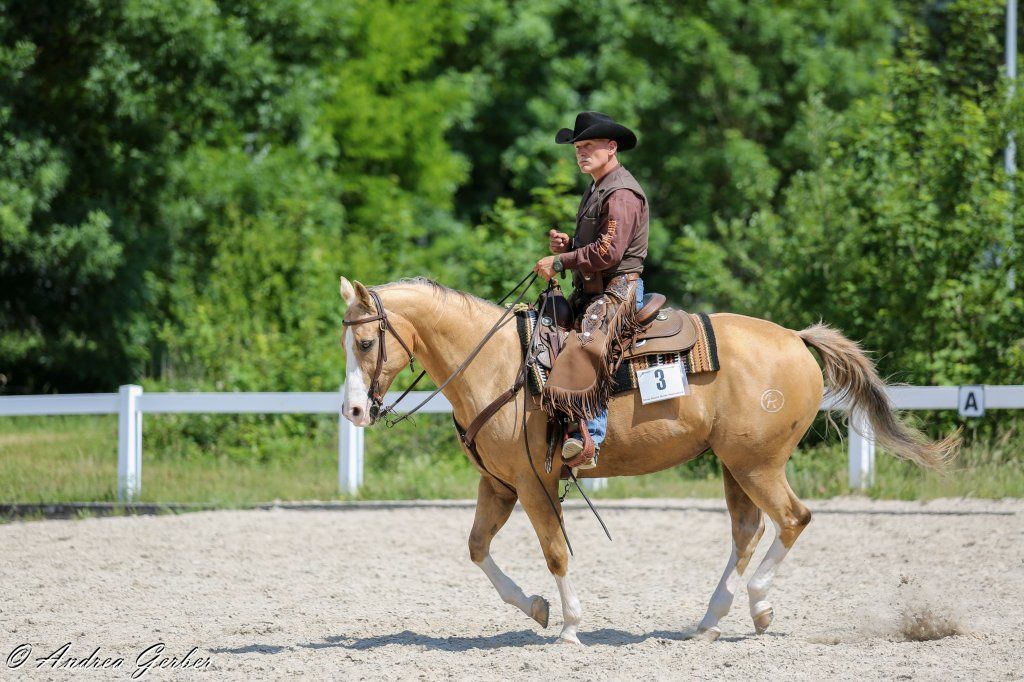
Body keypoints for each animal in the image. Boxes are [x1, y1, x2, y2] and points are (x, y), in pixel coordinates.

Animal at [338, 275, 959, 643]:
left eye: (365, 343)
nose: (352, 410)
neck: (497, 365)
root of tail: (795, 338)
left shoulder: (535, 485)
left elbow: (556, 553)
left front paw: (570, 627)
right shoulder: (500, 485)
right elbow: (476, 549)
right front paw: (536, 609)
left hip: (757, 464)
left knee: (791, 519)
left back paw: (757, 607)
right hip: (735, 465)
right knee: (748, 531)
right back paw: (711, 622)